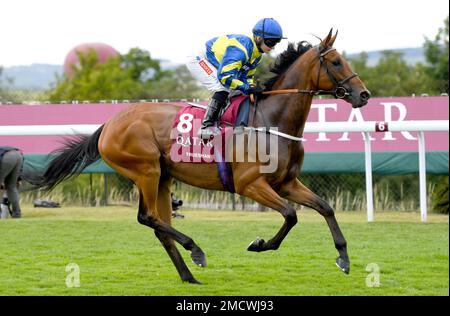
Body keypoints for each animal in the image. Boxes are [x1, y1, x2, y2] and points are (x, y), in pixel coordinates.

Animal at [35, 29, 370, 286]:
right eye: (337, 62)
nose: (364, 95)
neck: (272, 120)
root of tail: (109, 124)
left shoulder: (286, 183)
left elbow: (325, 207)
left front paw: (343, 258)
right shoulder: (250, 184)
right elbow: (291, 215)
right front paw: (260, 244)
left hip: (163, 178)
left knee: (159, 225)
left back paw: (188, 275)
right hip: (146, 170)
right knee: (148, 217)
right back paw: (195, 250)